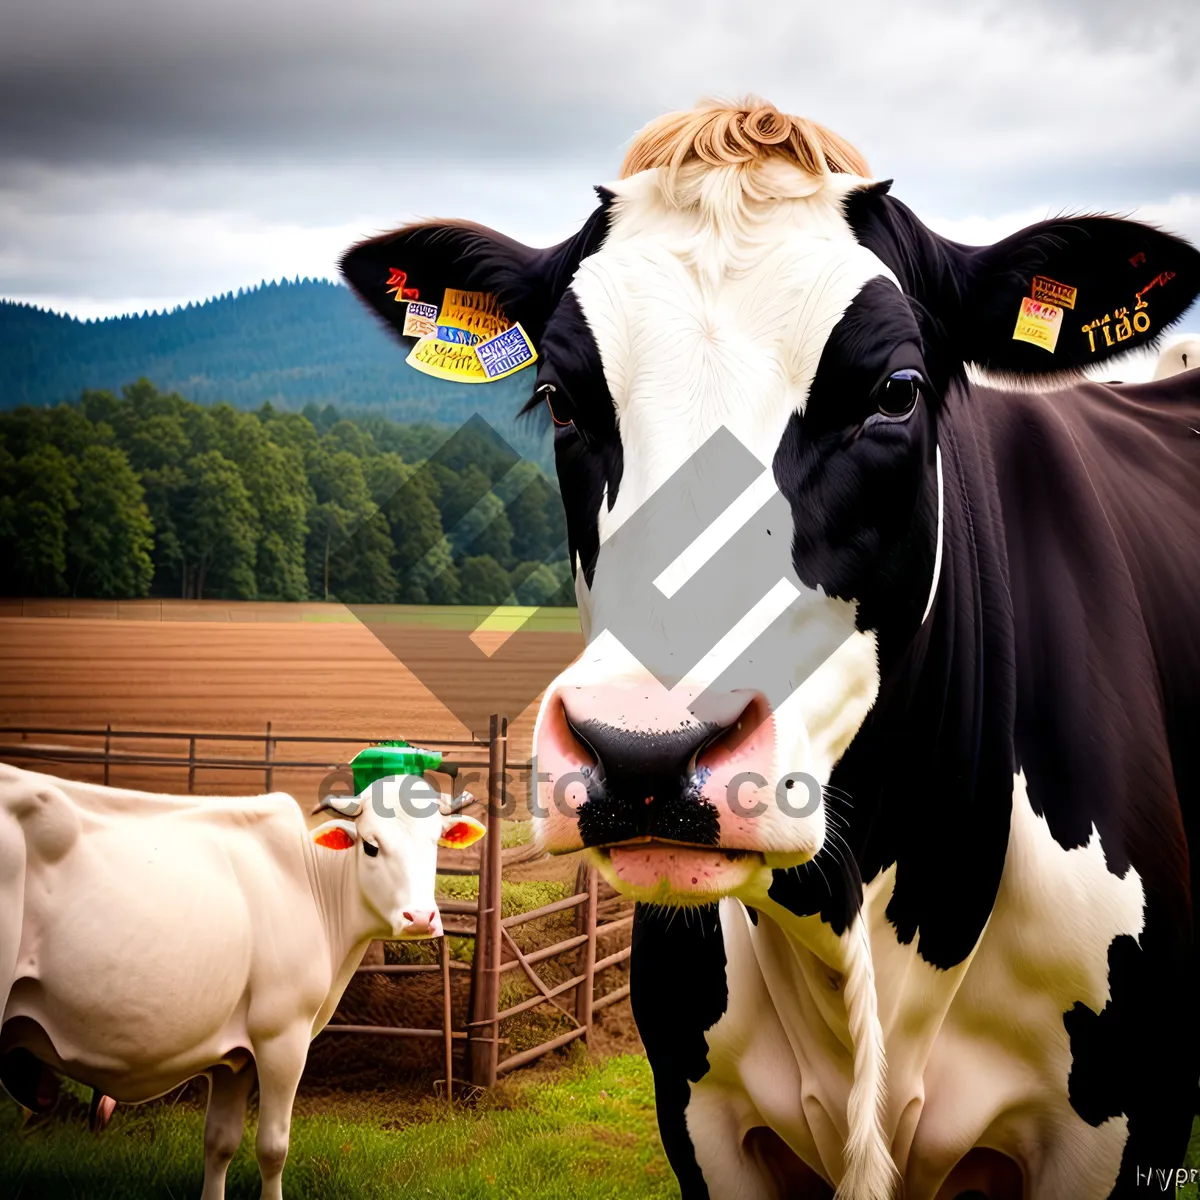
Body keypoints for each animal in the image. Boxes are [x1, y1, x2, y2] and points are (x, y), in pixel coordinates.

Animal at [2, 763, 487, 1200]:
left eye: (434, 843)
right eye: (370, 846)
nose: (419, 918)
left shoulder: (230, 1056)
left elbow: (220, 1142)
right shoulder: (282, 1035)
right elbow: (273, 1148)